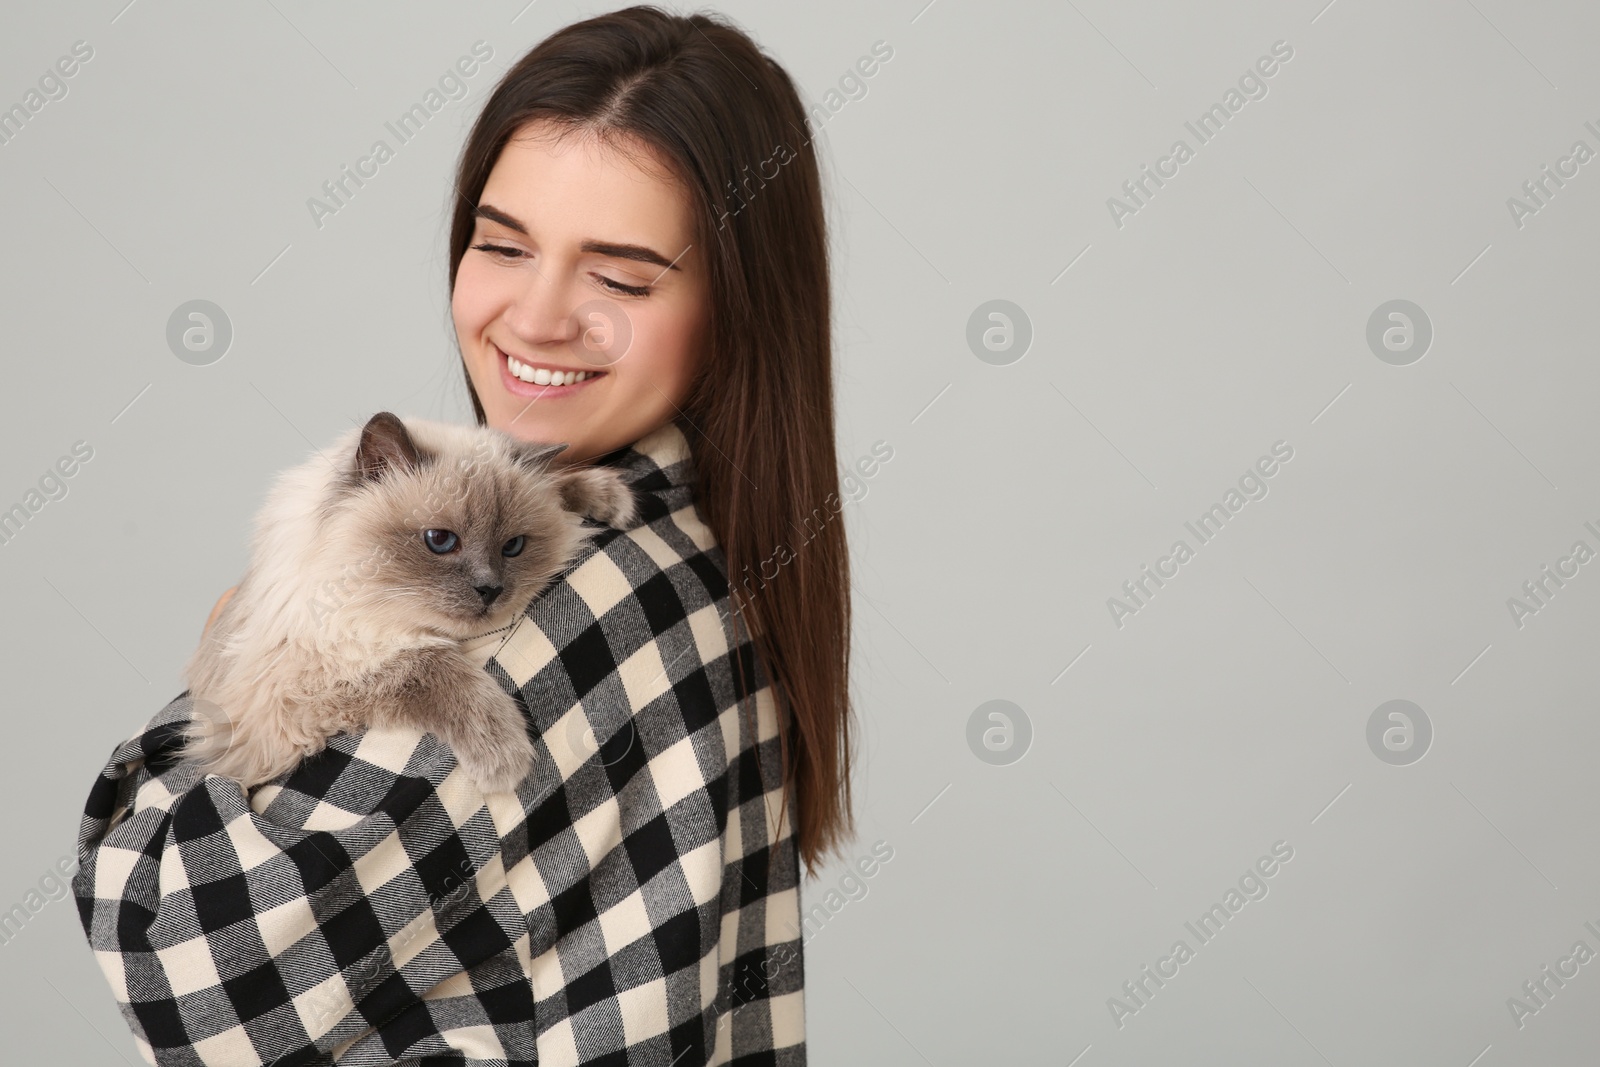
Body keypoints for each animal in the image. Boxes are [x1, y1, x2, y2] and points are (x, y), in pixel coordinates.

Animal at [181, 412, 636, 796]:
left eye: (513, 547)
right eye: (440, 540)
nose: (490, 589)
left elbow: (562, 486)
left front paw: (610, 497)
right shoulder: (295, 689)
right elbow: (429, 663)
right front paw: (503, 755)